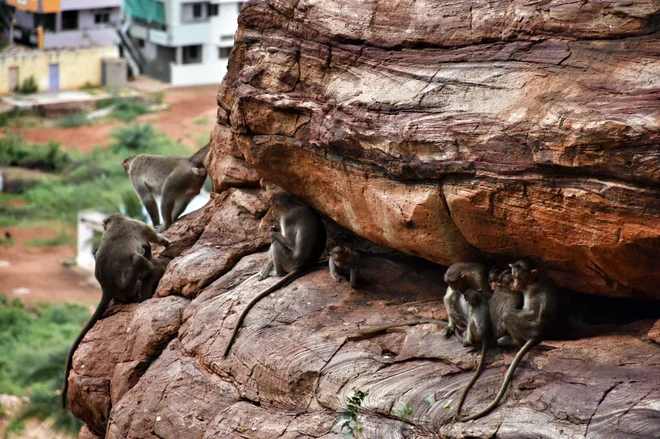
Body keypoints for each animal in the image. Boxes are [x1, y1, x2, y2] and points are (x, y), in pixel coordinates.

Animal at [61, 214, 169, 410]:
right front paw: (164, 243)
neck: (119, 221)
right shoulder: (137, 225)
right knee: (137, 261)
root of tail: (107, 288)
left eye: (104, 227)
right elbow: (154, 237)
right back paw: (149, 272)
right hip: (129, 283)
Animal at [456, 290, 492, 418]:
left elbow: (469, 321)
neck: (479, 301)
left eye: (467, 299)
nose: (464, 298)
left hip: (477, 333)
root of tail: (485, 336)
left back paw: (469, 340)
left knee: (471, 323)